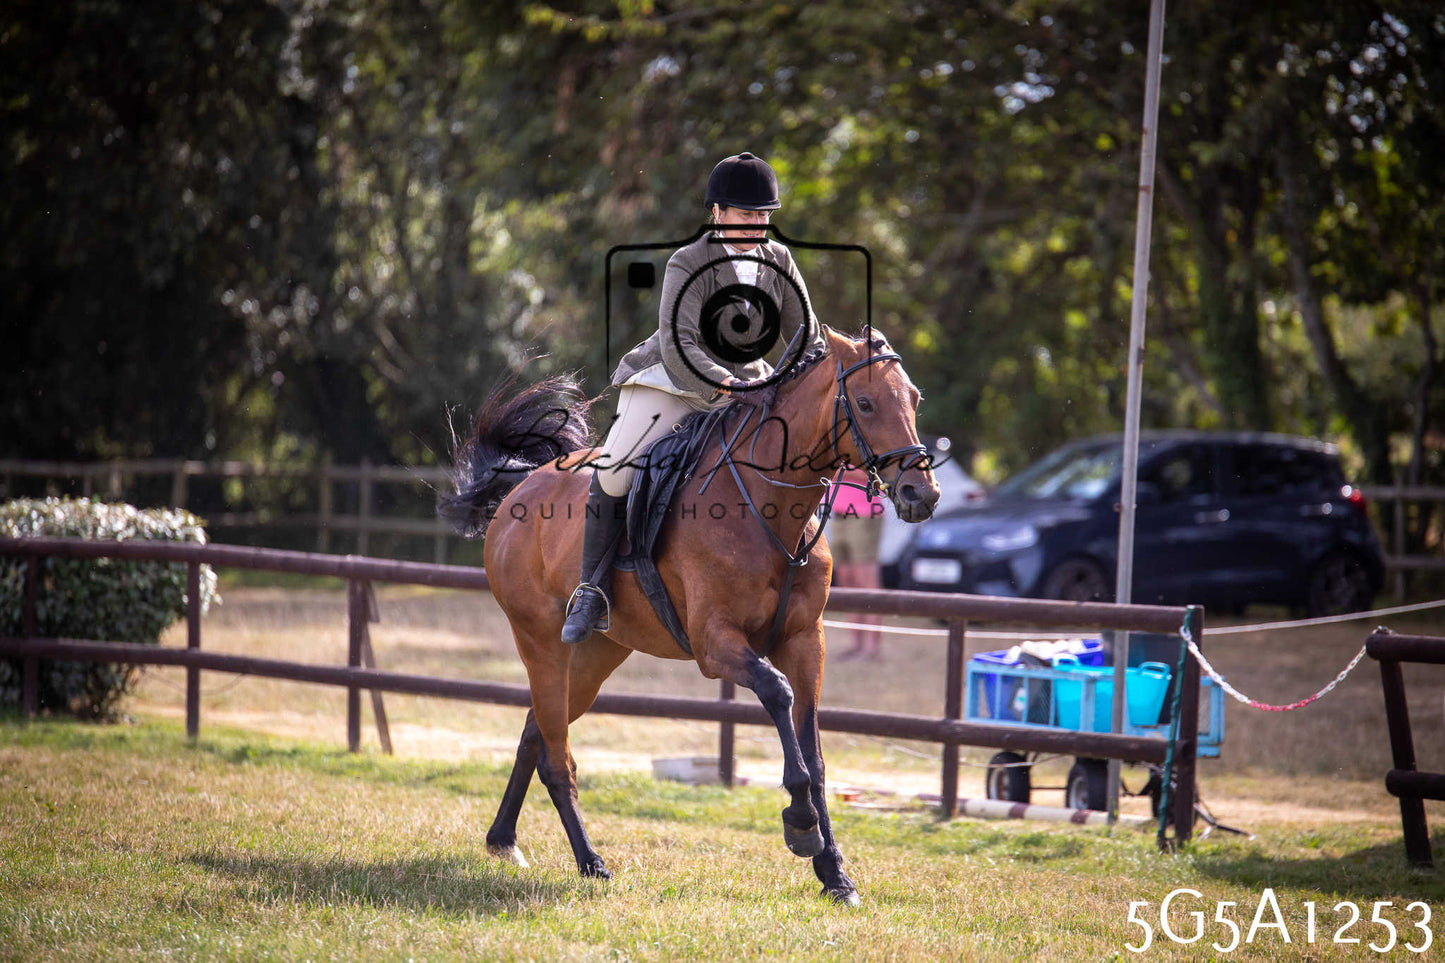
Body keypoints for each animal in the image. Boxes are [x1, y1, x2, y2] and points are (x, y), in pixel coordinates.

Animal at [440, 325, 940, 905]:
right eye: (864, 403)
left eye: (915, 399)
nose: (922, 494)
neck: (768, 505)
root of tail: (519, 490)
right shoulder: (715, 644)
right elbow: (777, 696)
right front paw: (800, 825)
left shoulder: (805, 641)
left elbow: (814, 755)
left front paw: (835, 874)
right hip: (540, 644)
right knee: (556, 759)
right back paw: (590, 862)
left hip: (595, 655)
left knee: (535, 733)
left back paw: (504, 840)